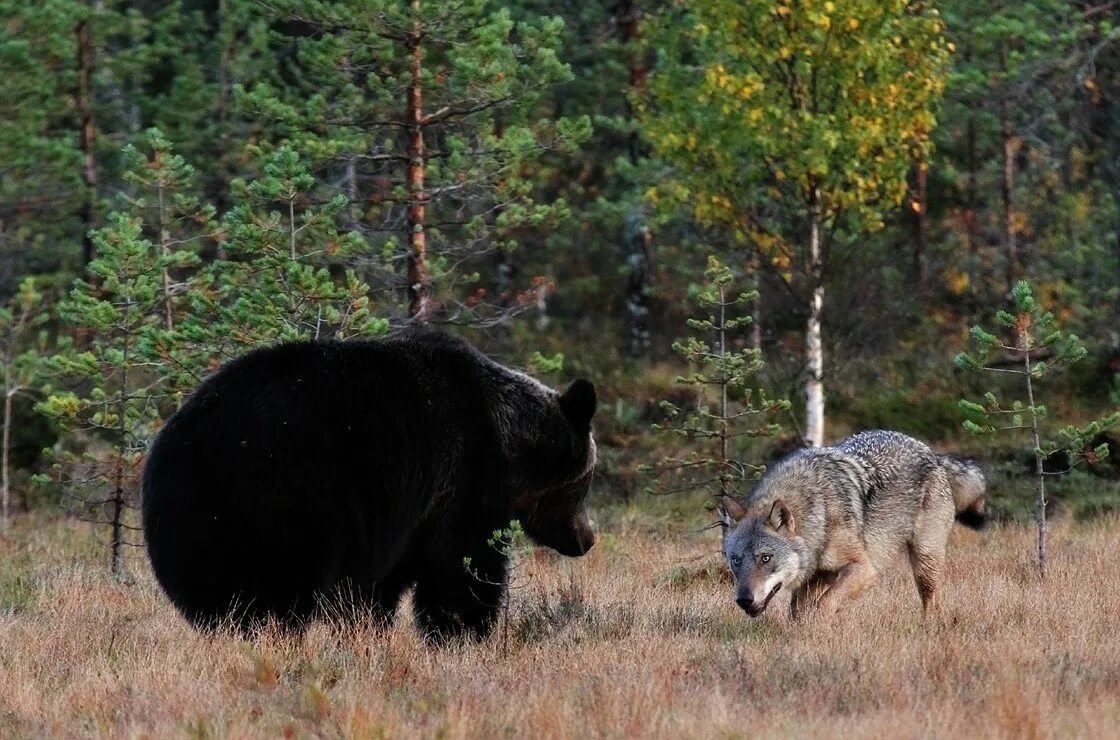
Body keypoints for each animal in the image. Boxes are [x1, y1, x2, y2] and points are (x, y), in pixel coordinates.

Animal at [144, 331, 600, 635]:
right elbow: (461, 567)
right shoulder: (464, 480)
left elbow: (380, 583)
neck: (512, 441)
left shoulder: (399, 516)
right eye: (585, 484)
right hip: (283, 499)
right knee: (280, 586)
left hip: (200, 515)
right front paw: (463, 631)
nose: (586, 539)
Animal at [721, 429, 985, 613]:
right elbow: (798, 612)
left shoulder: (864, 568)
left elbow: (824, 605)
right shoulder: (815, 578)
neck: (820, 510)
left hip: (925, 561)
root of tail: (931, 452)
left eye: (766, 558)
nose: (744, 600)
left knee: (932, 603)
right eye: (736, 560)